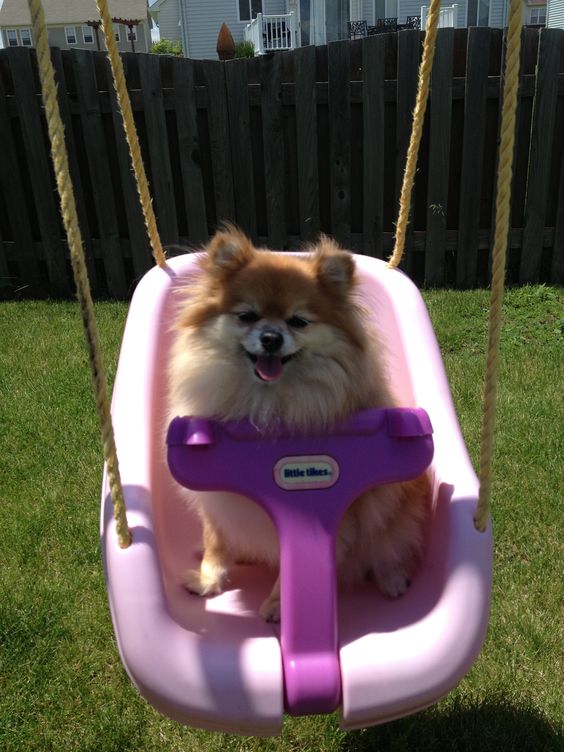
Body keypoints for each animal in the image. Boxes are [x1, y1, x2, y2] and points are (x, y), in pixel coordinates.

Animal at [166, 226, 428, 620]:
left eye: (298, 321)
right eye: (246, 315)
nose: (271, 337)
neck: (265, 404)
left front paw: (278, 605)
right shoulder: (216, 500)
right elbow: (216, 541)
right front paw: (207, 579)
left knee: (388, 546)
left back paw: (392, 579)